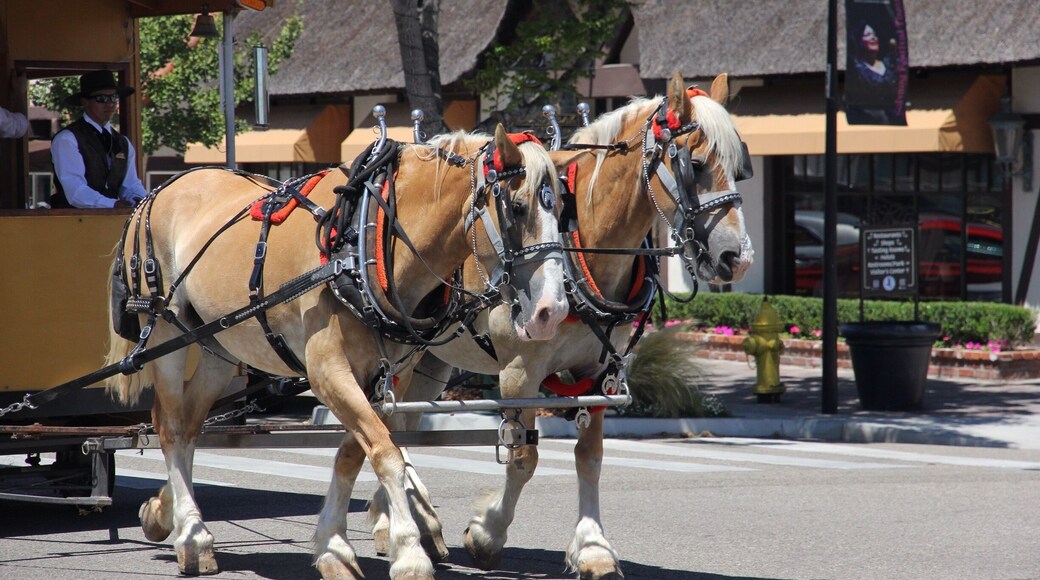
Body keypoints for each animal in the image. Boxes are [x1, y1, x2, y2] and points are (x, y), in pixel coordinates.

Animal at [103, 124, 579, 580]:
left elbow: (355, 453)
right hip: (165, 331)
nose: (552, 311)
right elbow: (386, 453)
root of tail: (157, 192)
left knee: (188, 428)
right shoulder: (327, 370)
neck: (365, 242)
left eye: (561, 209)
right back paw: (191, 536)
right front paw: (409, 552)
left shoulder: (389, 374)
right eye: (518, 207)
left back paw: (173, 519)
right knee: (169, 428)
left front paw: (334, 547)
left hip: (217, 347)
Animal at [365, 72, 755, 579]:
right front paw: (487, 534)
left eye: (740, 165)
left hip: (432, 359)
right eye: (698, 163)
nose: (737, 258)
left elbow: (590, 459)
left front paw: (593, 547)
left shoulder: (602, 371)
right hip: (402, 357)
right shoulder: (519, 373)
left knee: (402, 423)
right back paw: (397, 523)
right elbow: (524, 458)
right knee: (388, 421)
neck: (580, 242)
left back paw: (408, 520)